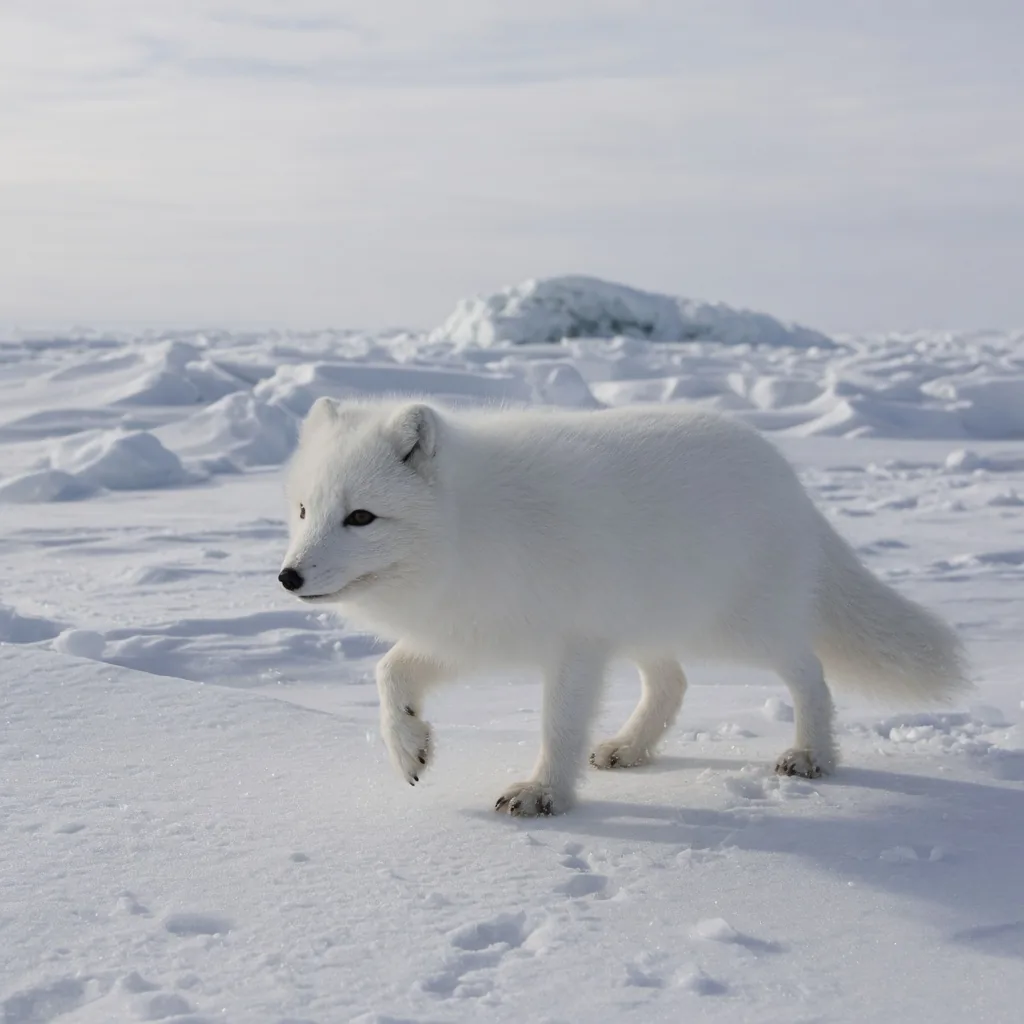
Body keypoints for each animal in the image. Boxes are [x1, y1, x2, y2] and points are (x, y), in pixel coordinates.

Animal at [278, 396, 967, 816]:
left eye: (361, 517)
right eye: (305, 510)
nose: (288, 577)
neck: (472, 528)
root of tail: (786, 475)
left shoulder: (574, 644)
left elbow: (557, 727)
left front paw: (544, 794)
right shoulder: (473, 629)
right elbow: (389, 670)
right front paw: (409, 746)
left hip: (738, 628)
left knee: (809, 673)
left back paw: (813, 755)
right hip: (647, 627)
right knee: (673, 682)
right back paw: (631, 748)